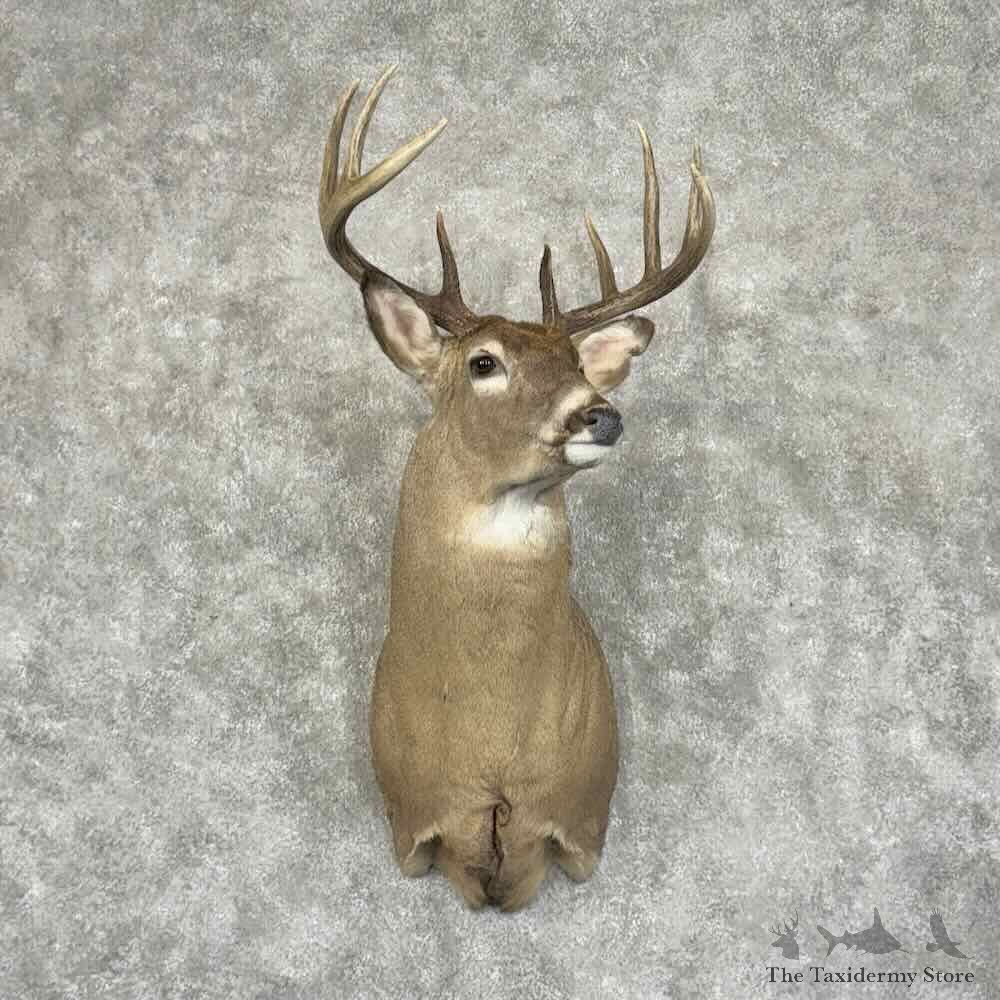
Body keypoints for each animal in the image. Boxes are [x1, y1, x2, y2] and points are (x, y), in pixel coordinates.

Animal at [318, 66, 715, 911]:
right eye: (483, 362)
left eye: (577, 362)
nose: (599, 411)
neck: (493, 749)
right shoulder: (410, 824)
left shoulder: (585, 820)